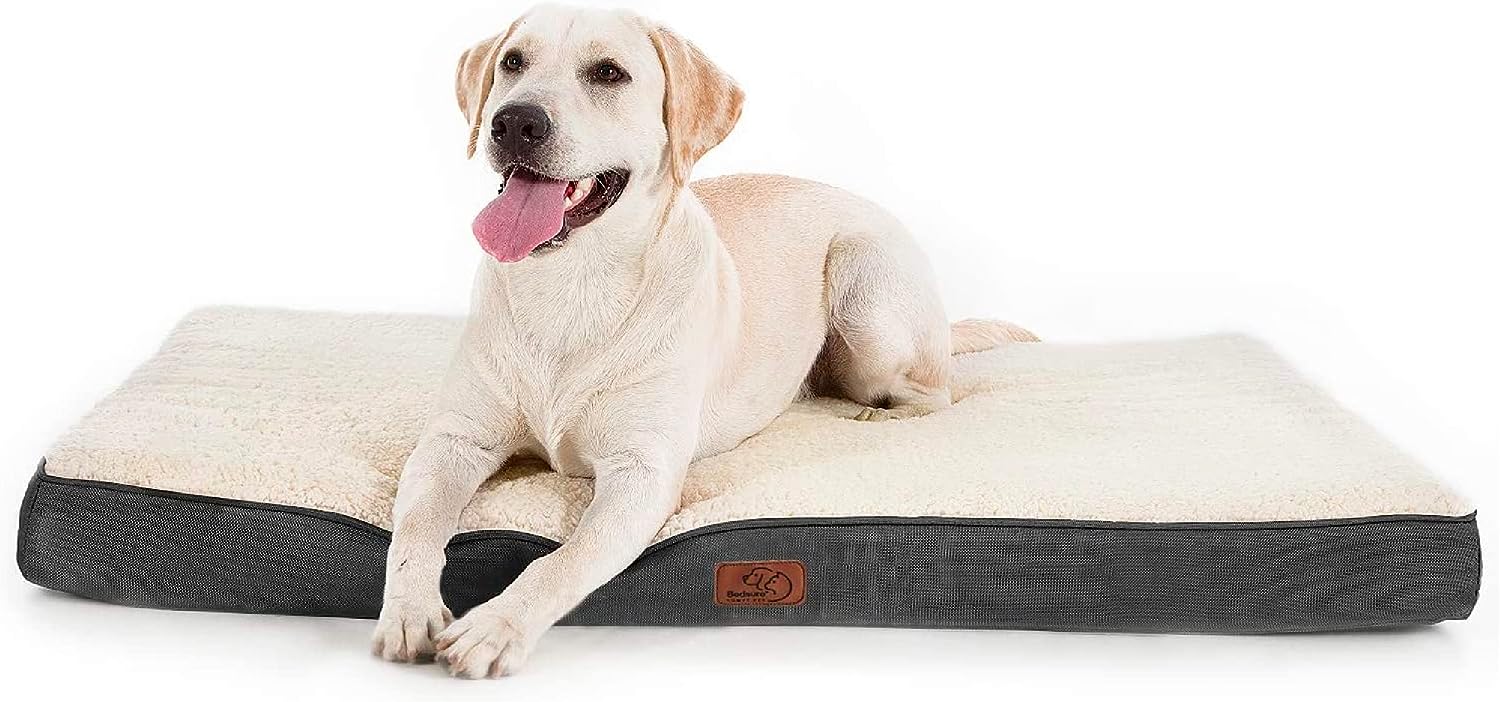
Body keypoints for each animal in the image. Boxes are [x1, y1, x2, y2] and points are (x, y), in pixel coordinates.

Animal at [369, 2, 1038, 678]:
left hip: (866, 287)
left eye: (608, 73)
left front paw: (495, 626)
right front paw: (409, 610)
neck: (571, 285)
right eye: (512, 62)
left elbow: (563, 560)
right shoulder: (454, 441)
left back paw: (878, 416)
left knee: (934, 393)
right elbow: (416, 528)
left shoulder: (642, 474)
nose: (514, 121)